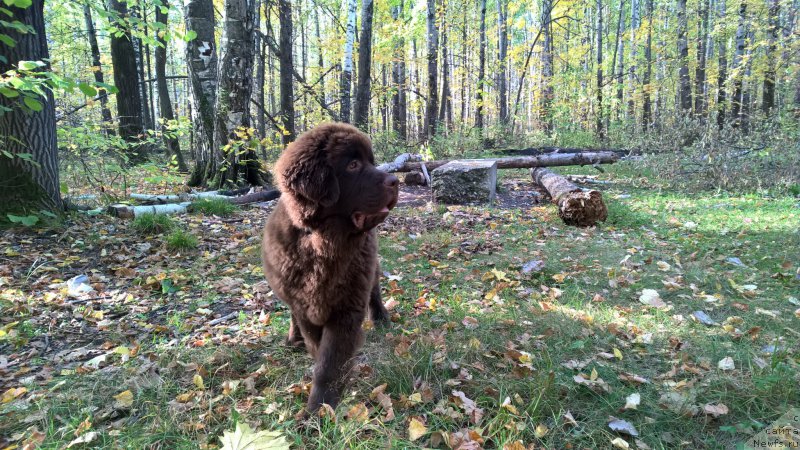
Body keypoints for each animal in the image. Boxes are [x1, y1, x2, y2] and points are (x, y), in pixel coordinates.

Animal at [262, 123, 400, 414]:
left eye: (372, 162)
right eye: (353, 165)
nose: (395, 181)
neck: (324, 245)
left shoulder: (347, 306)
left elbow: (329, 362)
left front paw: (320, 408)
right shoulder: (304, 304)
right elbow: (317, 346)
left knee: (375, 291)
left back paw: (381, 318)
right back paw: (293, 340)